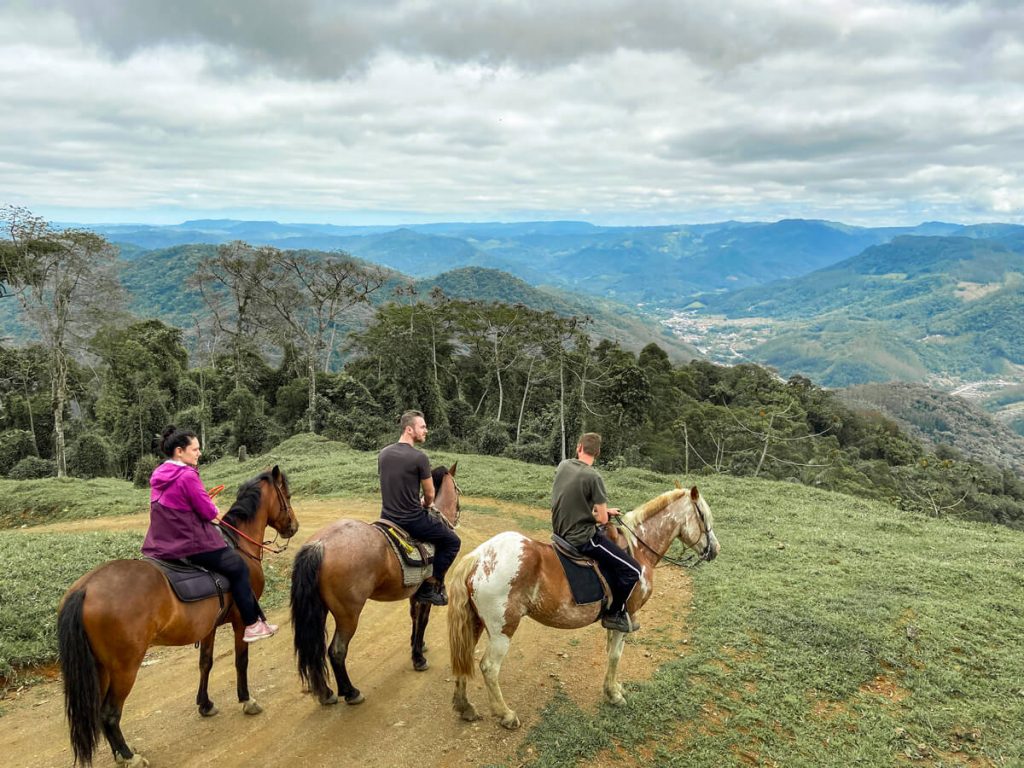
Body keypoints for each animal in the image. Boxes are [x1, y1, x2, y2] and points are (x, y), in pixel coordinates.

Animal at [56, 466, 299, 768]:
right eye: (287, 494)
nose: (294, 526)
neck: (239, 543)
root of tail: (86, 588)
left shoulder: (208, 627)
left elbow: (205, 663)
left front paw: (205, 704)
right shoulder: (241, 620)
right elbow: (241, 661)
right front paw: (246, 700)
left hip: (99, 666)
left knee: (99, 711)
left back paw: (119, 753)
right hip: (124, 667)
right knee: (109, 713)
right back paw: (129, 756)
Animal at [290, 462, 462, 708]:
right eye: (458, 490)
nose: (457, 516)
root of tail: (320, 545)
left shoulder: (415, 593)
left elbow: (414, 618)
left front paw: (417, 645)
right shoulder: (427, 593)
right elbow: (423, 620)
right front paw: (418, 658)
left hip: (319, 610)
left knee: (315, 651)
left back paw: (325, 693)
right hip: (348, 615)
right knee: (336, 651)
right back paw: (350, 692)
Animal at [448, 483, 720, 729]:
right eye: (703, 516)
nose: (715, 550)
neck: (638, 548)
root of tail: (478, 557)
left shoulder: (615, 620)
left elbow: (611, 653)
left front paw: (613, 688)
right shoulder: (627, 616)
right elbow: (616, 655)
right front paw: (614, 695)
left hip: (474, 623)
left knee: (464, 660)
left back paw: (465, 707)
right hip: (502, 630)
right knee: (489, 668)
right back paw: (505, 714)